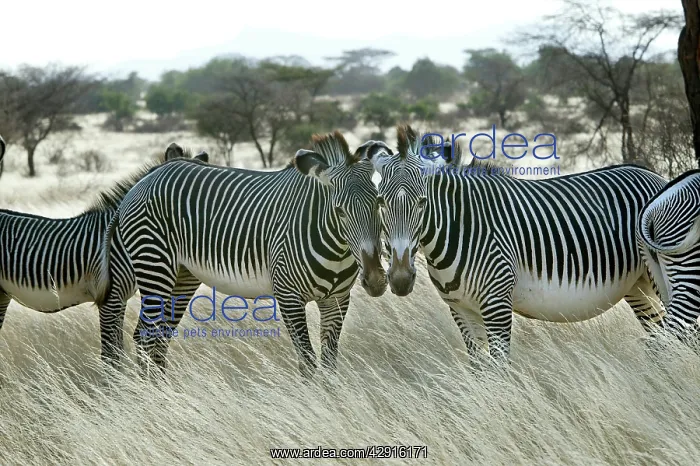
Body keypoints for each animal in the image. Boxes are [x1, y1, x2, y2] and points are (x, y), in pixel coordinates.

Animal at [96, 131, 387, 379]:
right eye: (339, 211)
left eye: (379, 202)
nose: (375, 280)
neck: (337, 248)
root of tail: (145, 179)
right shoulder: (289, 296)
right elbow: (307, 361)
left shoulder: (337, 300)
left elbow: (329, 363)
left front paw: (330, 398)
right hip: (154, 265)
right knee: (148, 335)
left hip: (182, 276)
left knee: (154, 337)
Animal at [366, 123, 669, 363]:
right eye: (380, 201)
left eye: (422, 202)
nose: (401, 280)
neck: (459, 227)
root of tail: (655, 176)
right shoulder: (461, 309)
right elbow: (479, 370)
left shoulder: (496, 303)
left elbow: (500, 370)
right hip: (637, 285)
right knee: (661, 337)